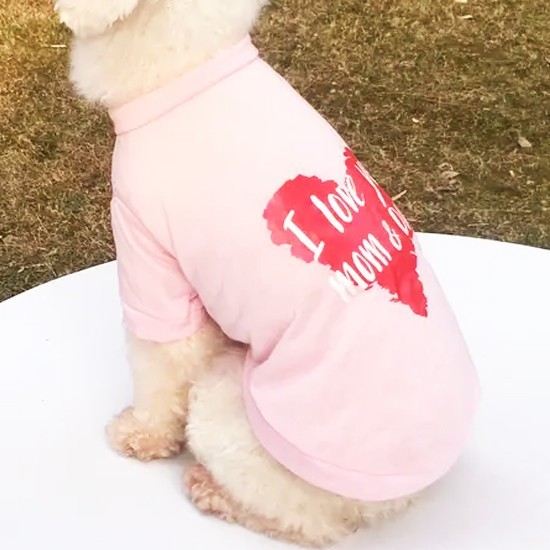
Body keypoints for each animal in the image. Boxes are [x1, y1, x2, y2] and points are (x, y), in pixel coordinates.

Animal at [55, 0, 480, 546]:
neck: (192, 65)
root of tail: (402, 495)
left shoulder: (148, 255)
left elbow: (159, 369)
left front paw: (140, 434)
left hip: (227, 411)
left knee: (312, 523)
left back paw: (213, 491)